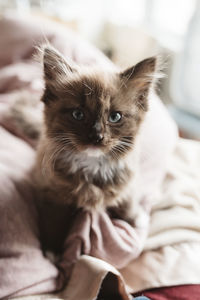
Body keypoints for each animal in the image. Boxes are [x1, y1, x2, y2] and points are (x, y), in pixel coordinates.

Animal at [33, 46, 159, 244]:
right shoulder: (50, 193)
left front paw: (135, 218)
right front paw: (52, 249)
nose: (96, 137)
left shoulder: (128, 180)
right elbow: (54, 224)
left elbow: (128, 200)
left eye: (115, 117)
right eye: (78, 114)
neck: (92, 166)